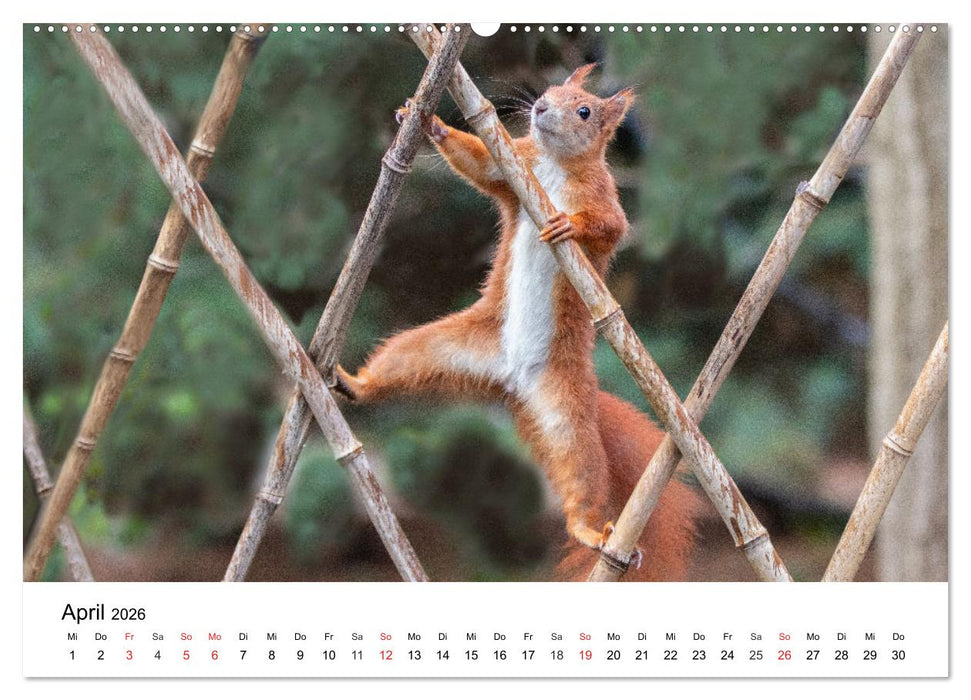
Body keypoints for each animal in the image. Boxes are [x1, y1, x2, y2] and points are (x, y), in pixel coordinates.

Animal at [336, 64, 699, 580]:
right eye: (548, 91)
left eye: (584, 110)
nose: (540, 108)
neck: (554, 167)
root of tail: (510, 379)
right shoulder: (514, 169)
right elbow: (481, 164)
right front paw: (429, 123)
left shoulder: (605, 200)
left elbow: (609, 227)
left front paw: (569, 224)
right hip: (443, 347)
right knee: (398, 363)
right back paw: (354, 383)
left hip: (565, 415)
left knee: (580, 475)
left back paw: (591, 531)